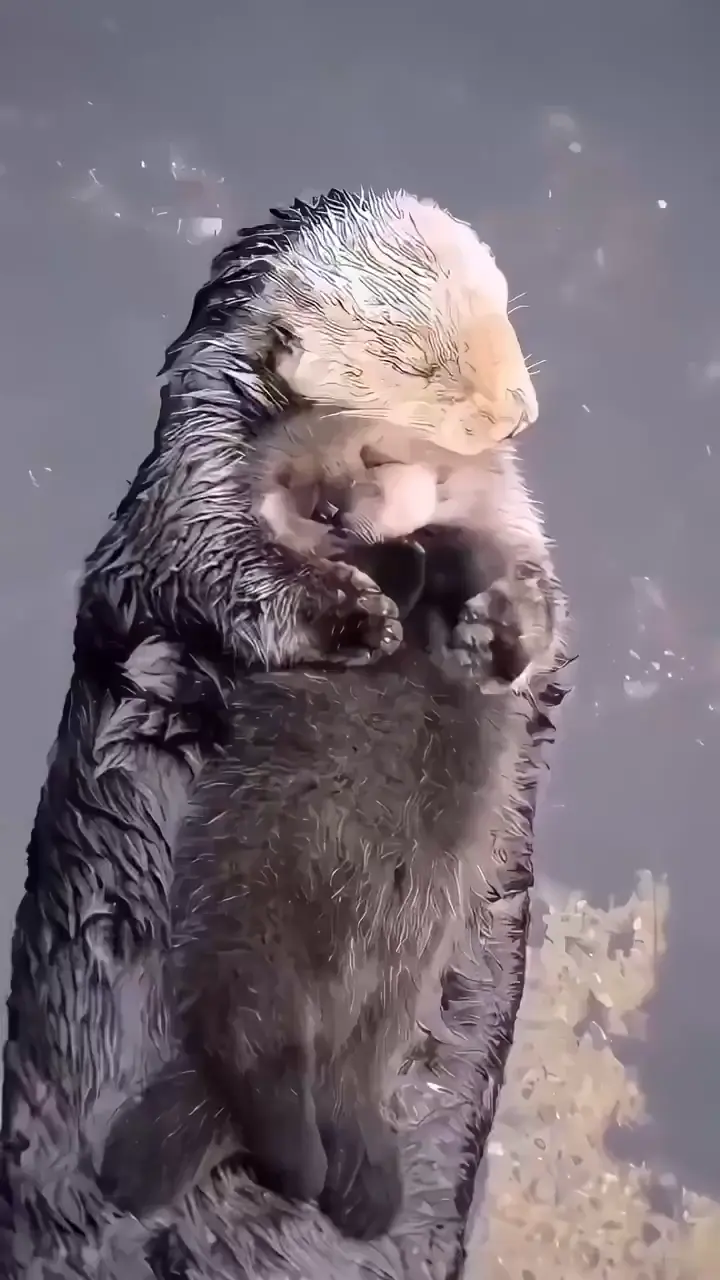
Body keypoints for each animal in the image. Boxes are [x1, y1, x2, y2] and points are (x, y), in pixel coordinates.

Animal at [1, 191, 568, 1278]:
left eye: (504, 311)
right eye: (415, 364)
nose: (516, 409)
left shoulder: (509, 518)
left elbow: (536, 610)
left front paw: (501, 622)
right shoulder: (194, 479)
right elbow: (219, 567)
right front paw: (358, 612)